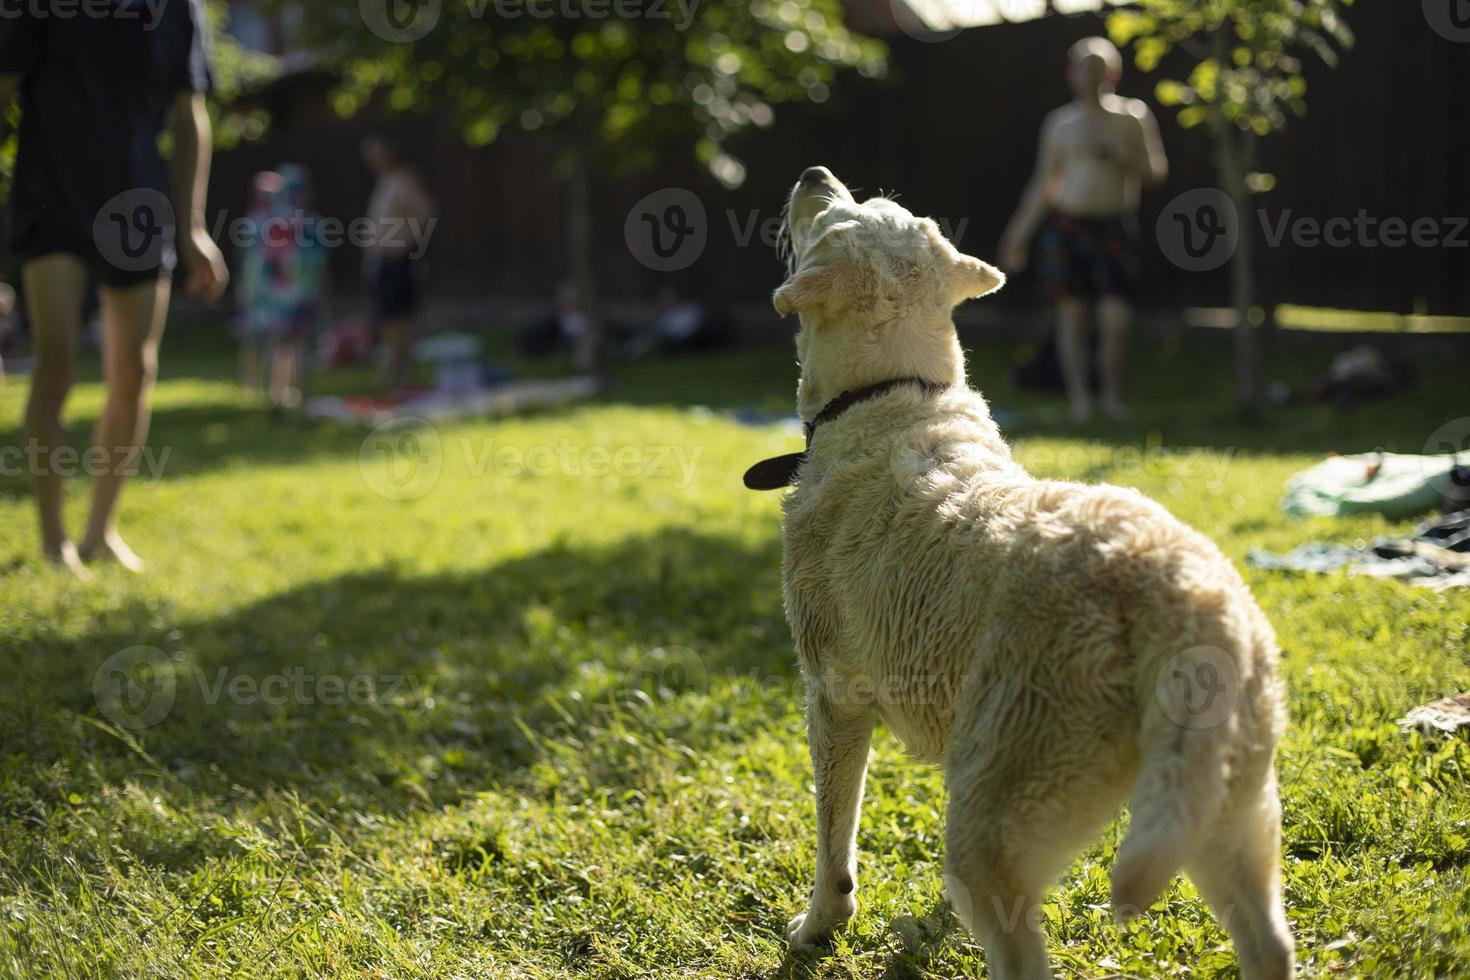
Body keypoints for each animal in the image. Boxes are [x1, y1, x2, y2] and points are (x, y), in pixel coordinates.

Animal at [752, 168, 1293, 980]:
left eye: (836, 215)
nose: (813, 175)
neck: (893, 393)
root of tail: (1172, 589)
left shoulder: (834, 698)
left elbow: (834, 842)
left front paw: (819, 927)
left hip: (997, 820)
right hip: (1224, 810)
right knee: (1268, 939)